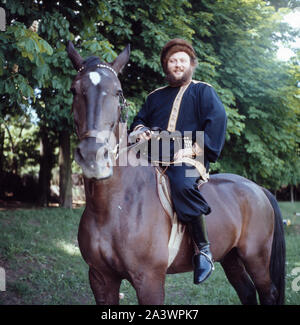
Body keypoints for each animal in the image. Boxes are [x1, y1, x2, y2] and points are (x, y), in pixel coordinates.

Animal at [66, 40, 286, 304]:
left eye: (118, 92)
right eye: (74, 90)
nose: (93, 156)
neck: (113, 206)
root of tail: (258, 189)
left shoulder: (149, 281)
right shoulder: (100, 278)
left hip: (257, 258)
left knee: (268, 292)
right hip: (231, 258)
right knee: (246, 291)